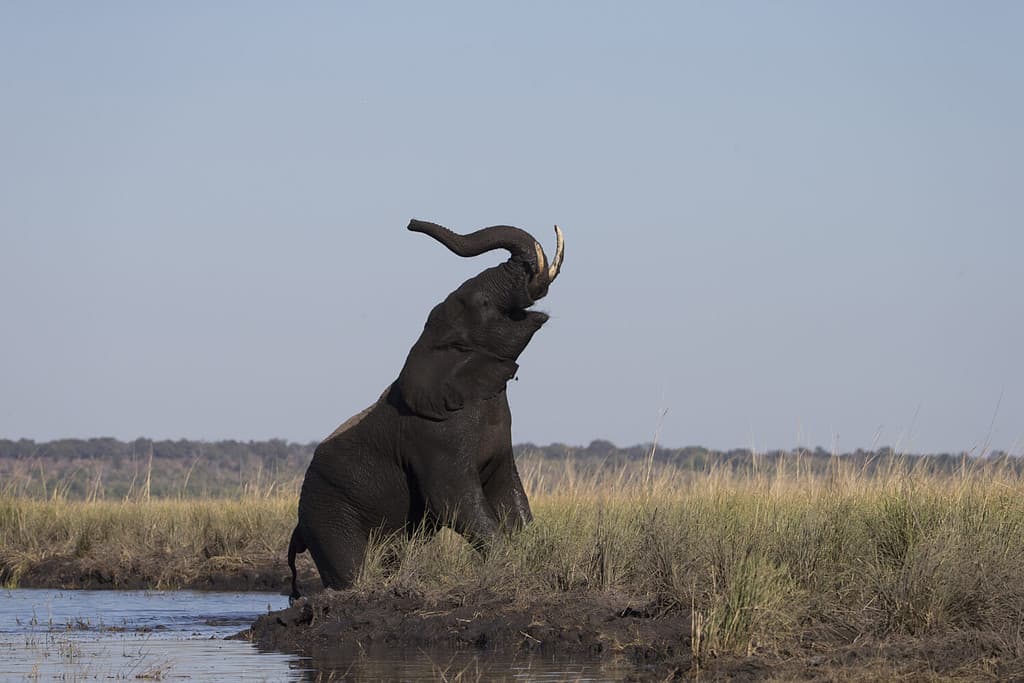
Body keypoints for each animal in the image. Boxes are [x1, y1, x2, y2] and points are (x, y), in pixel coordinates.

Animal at [288, 219, 565, 598]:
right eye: (483, 302)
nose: (411, 223)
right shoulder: (434, 438)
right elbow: (453, 501)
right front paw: (509, 567)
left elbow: (508, 494)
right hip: (328, 515)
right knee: (351, 567)